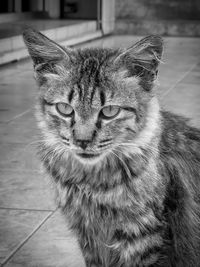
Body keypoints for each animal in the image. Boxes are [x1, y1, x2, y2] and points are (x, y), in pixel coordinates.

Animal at [22, 28, 200, 266]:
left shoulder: (143, 236)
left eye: (109, 112)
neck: (91, 183)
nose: (82, 141)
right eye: (65, 109)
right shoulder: (88, 235)